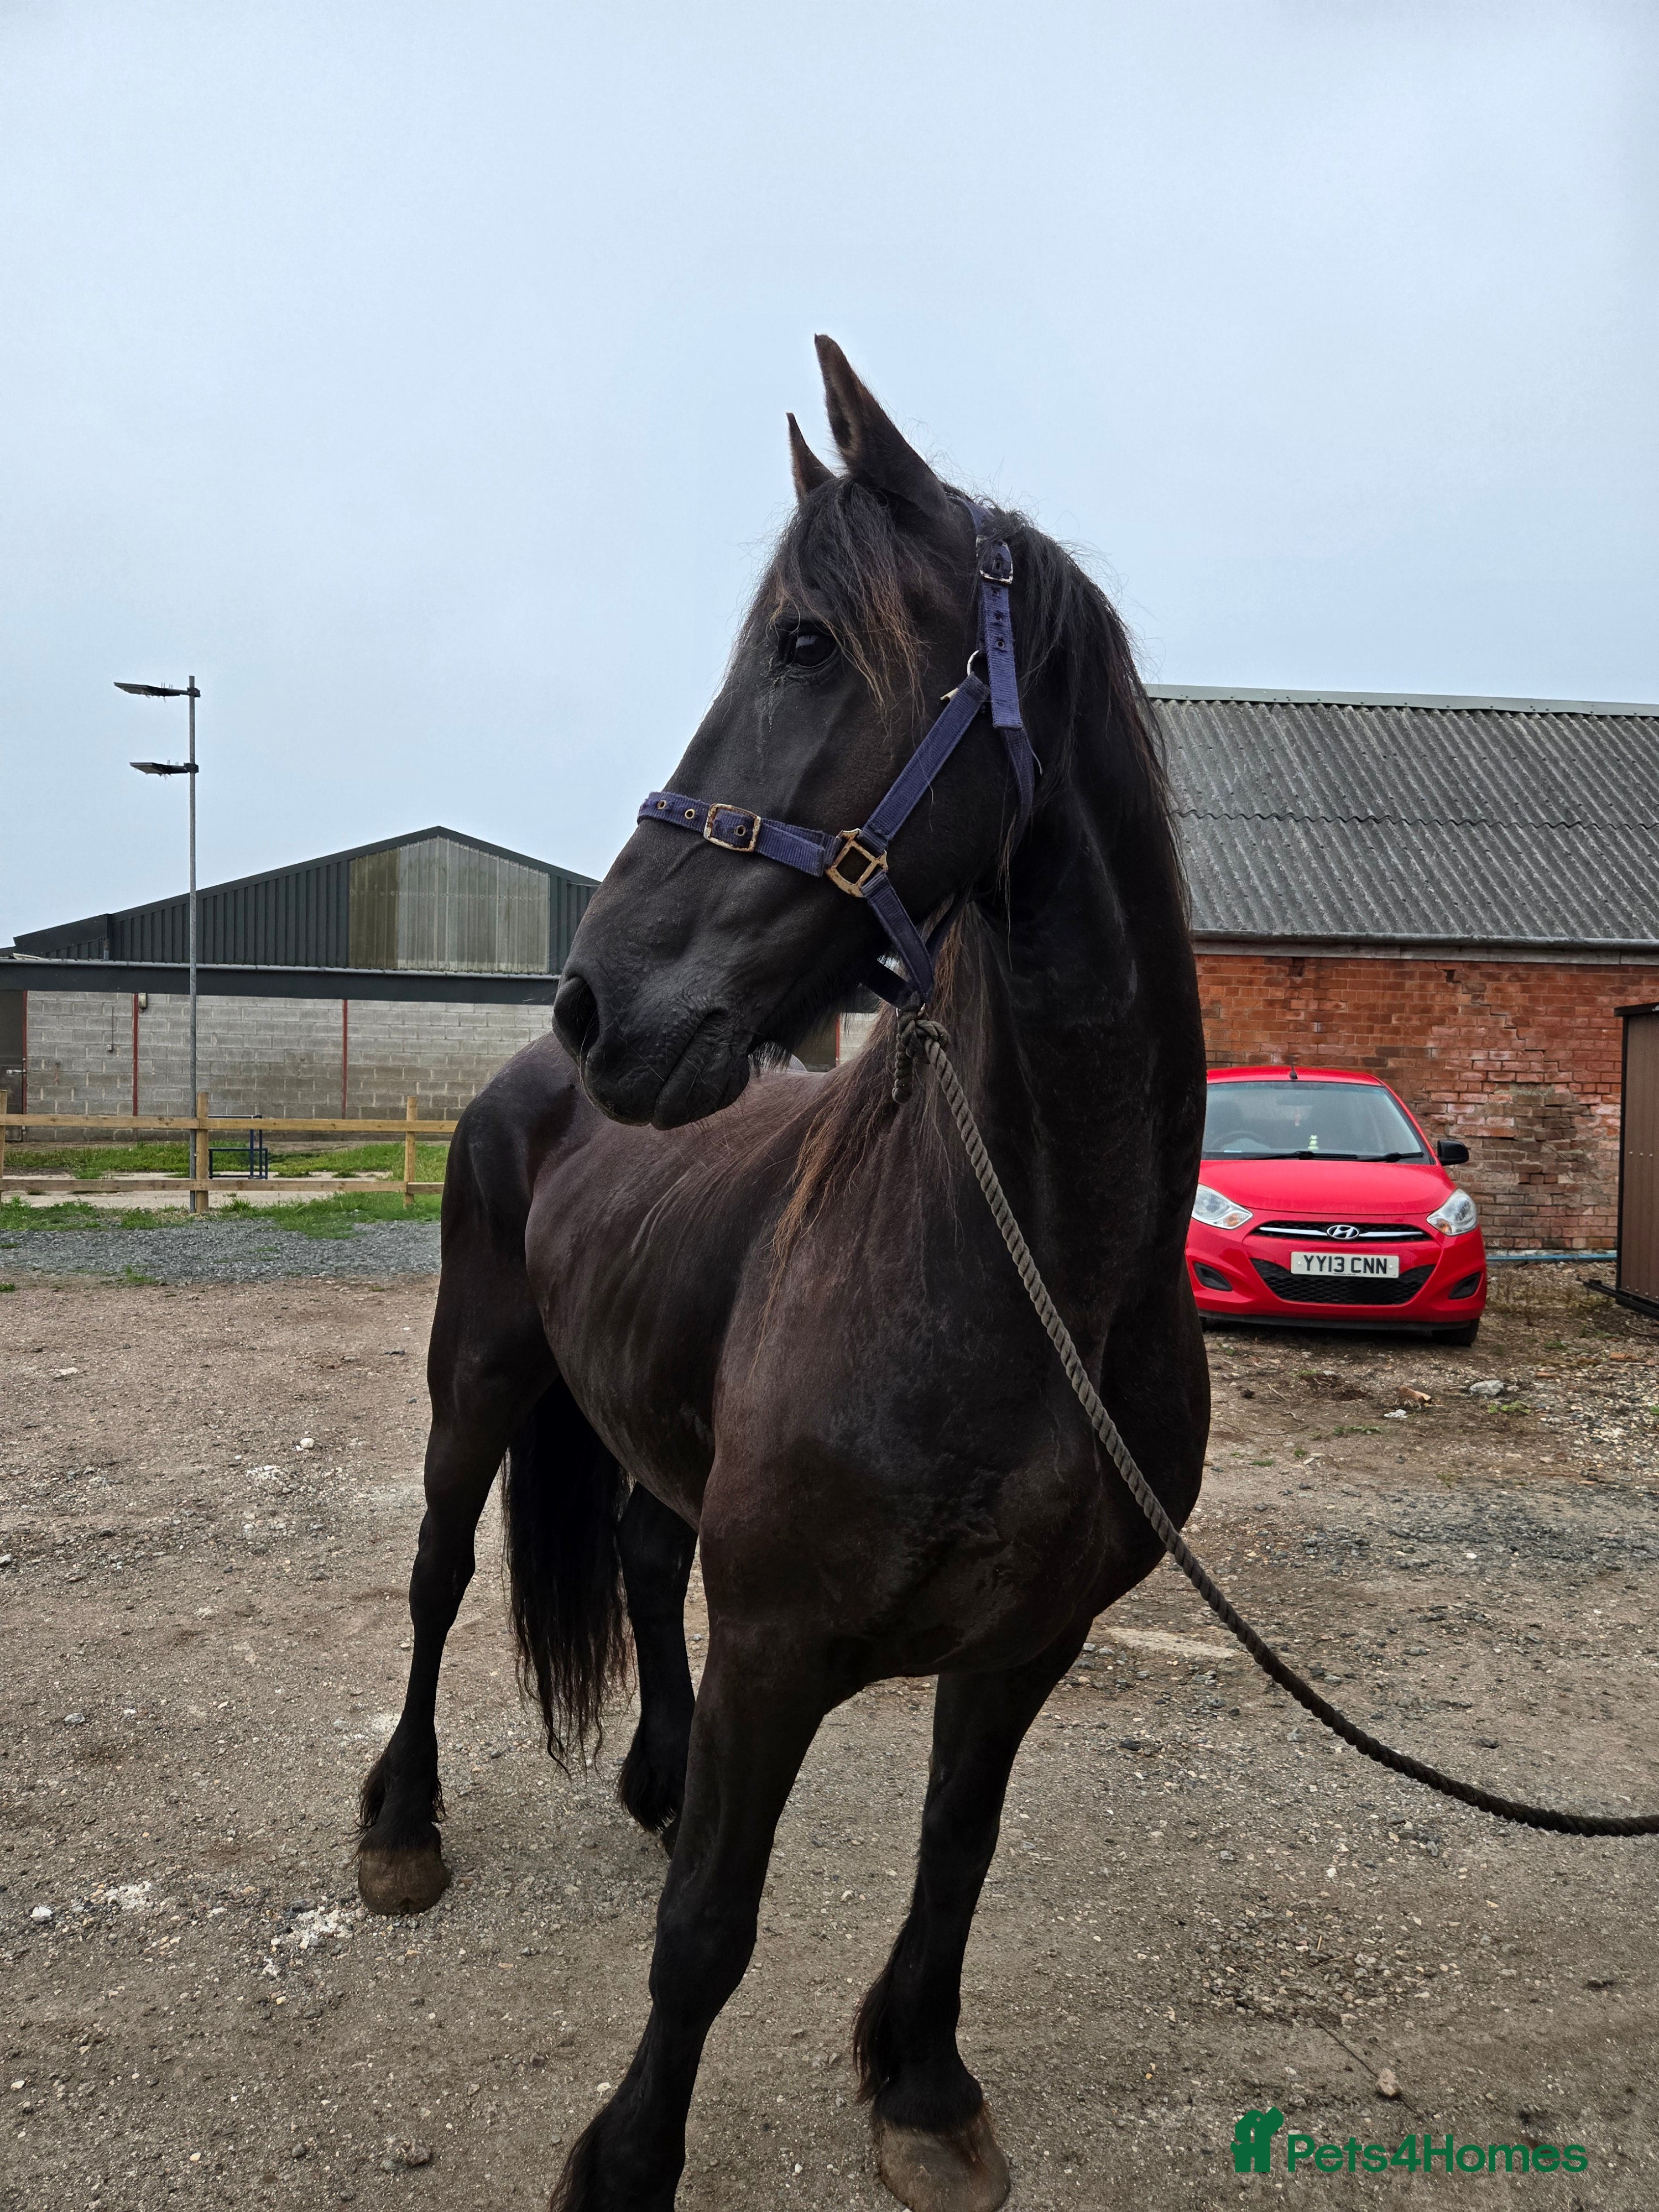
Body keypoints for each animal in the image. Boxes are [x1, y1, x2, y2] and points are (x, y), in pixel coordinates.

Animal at [355, 336, 1211, 2212]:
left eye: (807, 646)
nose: (596, 1000)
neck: (1034, 1274)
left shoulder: (1028, 1641)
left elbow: (955, 1852)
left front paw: (924, 2086)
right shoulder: (775, 1637)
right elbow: (706, 1933)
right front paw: (623, 2162)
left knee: (636, 1546)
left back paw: (657, 1776)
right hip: (475, 1382)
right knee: (440, 1578)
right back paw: (398, 1826)